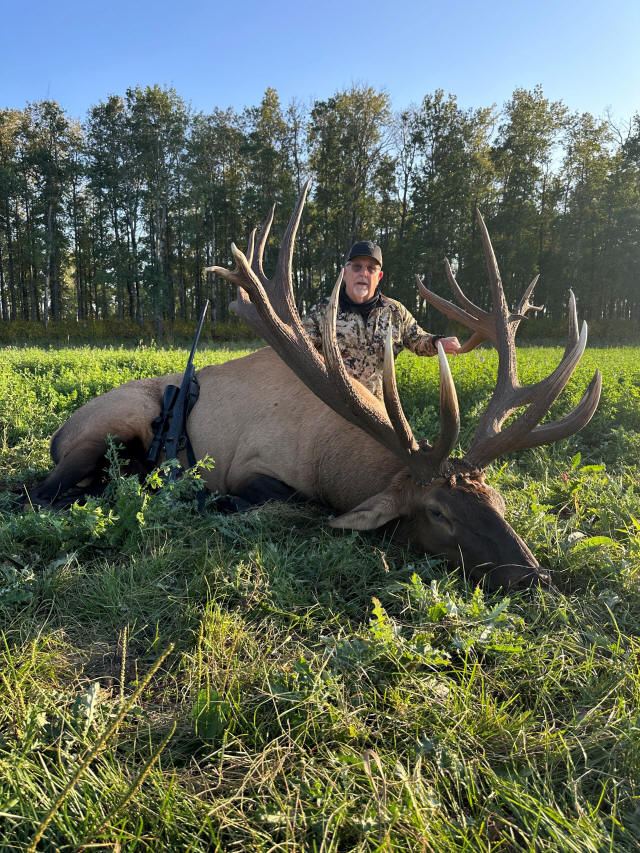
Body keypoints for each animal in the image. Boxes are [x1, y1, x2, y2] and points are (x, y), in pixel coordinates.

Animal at [27, 183, 601, 590]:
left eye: (497, 499)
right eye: (438, 512)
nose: (535, 577)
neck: (330, 458)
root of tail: (56, 433)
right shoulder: (254, 466)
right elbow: (291, 502)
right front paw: (212, 501)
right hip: (106, 430)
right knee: (39, 492)